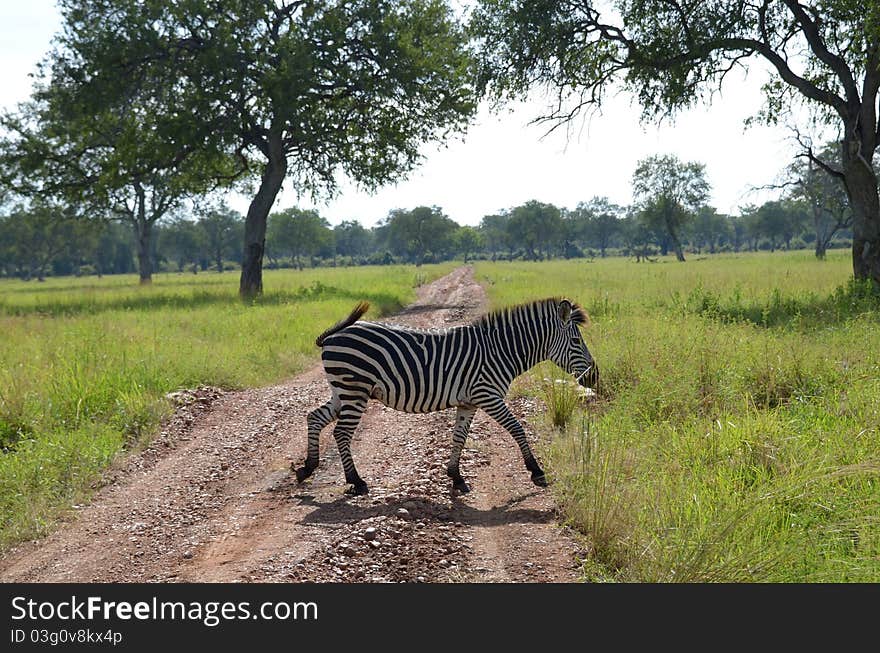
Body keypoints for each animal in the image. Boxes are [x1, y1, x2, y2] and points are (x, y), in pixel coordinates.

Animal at [296, 296, 600, 494]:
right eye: (576, 341)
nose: (595, 377)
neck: (501, 351)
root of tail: (333, 336)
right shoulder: (488, 395)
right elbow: (517, 428)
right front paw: (536, 470)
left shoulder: (469, 402)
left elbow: (459, 437)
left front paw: (455, 476)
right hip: (354, 390)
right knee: (341, 433)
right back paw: (356, 481)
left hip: (343, 391)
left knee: (314, 417)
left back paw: (308, 468)